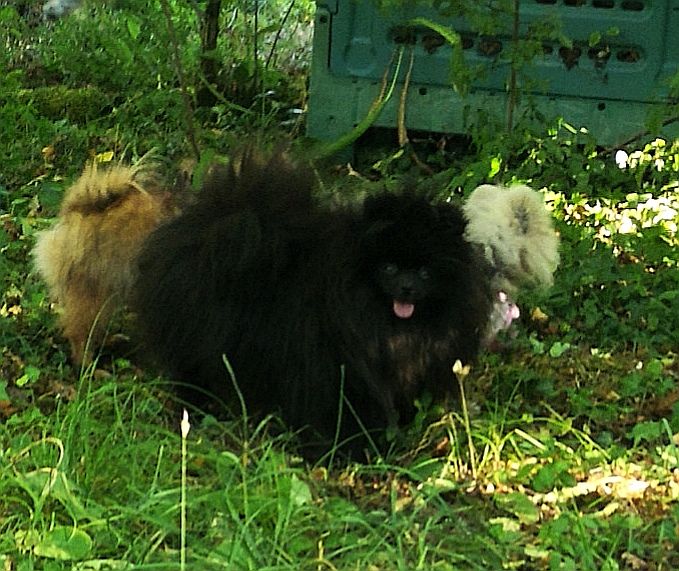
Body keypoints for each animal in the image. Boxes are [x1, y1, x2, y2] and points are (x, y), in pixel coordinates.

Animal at [134, 150, 494, 458]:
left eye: (424, 272)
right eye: (389, 268)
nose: (406, 288)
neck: (383, 324)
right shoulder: (339, 371)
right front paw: (349, 450)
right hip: (199, 340)